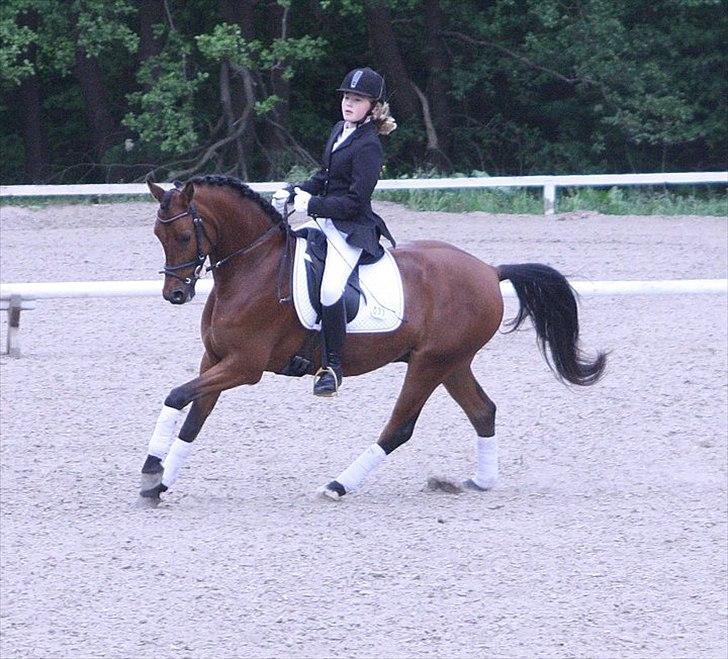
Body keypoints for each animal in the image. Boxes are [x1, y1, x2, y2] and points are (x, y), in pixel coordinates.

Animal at [139, 174, 604, 500]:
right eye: (158, 236)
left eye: (184, 235)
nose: (175, 294)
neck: (254, 267)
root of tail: (490, 271)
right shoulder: (215, 360)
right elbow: (194, 419)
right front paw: (160, 483)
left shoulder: (244, 366)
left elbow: (176, 397)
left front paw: (150, 471)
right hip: (452, 362)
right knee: (483, 411)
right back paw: (481, 482)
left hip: (430, 363)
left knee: (400, 427)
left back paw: (338, 485)